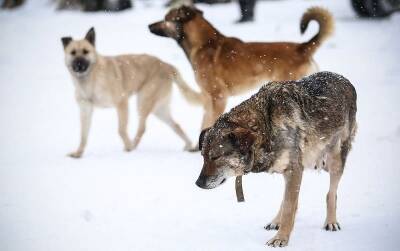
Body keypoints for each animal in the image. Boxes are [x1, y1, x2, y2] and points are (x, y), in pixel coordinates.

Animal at [61, 27, 203, 157]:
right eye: (73, 53)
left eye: (86, 52)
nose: (79, 64)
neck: (90, 80)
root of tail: (166, 65)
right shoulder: (86, 110)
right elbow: (83, 135)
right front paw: (78, 153)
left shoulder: (122, 102)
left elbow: (121, 129)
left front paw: (128, 146)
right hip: (159, 110)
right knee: (176, 125)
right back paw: (188, 145)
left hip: (143, 102)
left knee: (142, 128)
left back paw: (133, 146)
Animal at [150, 5, 334, 131]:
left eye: (165, 18)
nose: (149, 26)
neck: (203, 45)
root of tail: (302, 48)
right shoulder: (208, 98)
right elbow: (204, 122)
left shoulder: (218, 97)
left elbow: (210, 122)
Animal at [195, 72, 358, 247]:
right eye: (203, 157)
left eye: (216, 157)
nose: (198, 183)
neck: (266, 125)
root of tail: (344, 79)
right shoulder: (291, 171)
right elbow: (288, 204)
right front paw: (280, 229)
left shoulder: (295, 170)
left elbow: (289, 209)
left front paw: (281, 238)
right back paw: (276, 221)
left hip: (335, 160)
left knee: (331, 194)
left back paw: (331, 222)